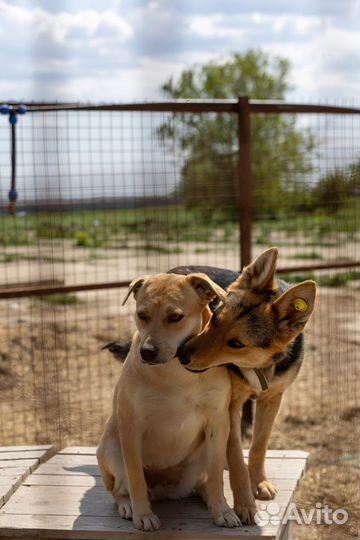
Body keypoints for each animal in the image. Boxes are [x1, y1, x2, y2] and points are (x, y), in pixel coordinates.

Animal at [97, 274, 240, 532]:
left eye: (175, 317)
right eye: (141, 315)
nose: (147, 352)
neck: (177, 370)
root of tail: (166, 490)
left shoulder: (217, 422)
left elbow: (216, 475)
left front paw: (222, 510)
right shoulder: (131, 427)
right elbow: (136, 478)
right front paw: (143, 515)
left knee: (203, 482)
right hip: (111, 449)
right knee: (118, 490)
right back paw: (128, 505)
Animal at [177, 248, 316, 520]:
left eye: (236, 343)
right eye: (214, 318)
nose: (182, 354)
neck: (257, 367)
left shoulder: (272, 400)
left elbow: (258, 447)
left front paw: (259, 482)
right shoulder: (231, 405)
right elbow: (236, 455)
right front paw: (243, 502)